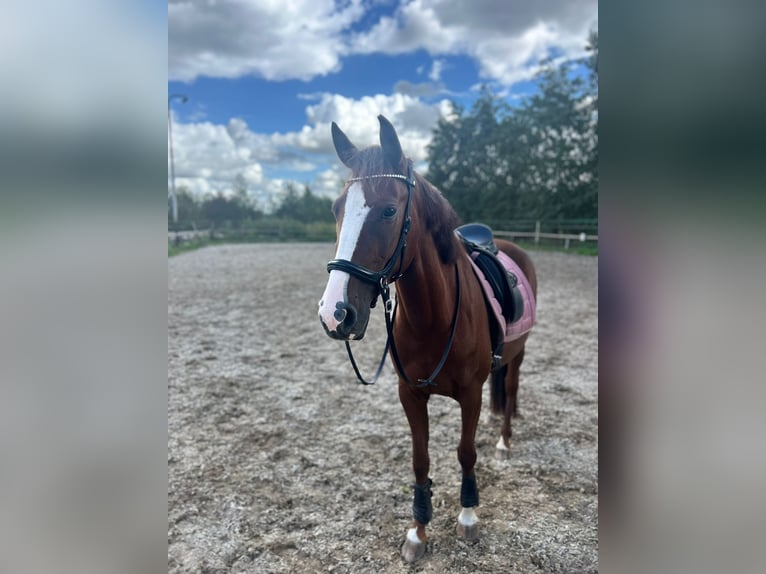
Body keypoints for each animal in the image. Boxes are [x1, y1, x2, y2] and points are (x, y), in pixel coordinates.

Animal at [317, 115, 537, 563]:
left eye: (389, 210)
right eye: (336, 209)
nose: (335, 312)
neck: (433, 318)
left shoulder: (470, 393)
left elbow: (466, 453)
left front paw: (468, 516)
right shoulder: (410, 394)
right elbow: (420, 461)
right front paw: (418, 532)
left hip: (519, 355)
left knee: (512, 389)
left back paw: (504, 442)